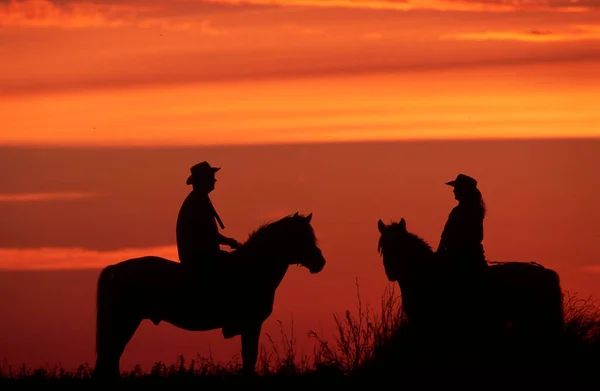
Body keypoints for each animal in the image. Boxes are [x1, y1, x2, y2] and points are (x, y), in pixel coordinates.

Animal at [93, 213, 326, 378]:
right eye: (302, 237)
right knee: (108, 357)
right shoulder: (251, 324)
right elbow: (249, 358)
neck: (252, 268)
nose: (320, 262)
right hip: (125, 320)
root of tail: (116, 268)